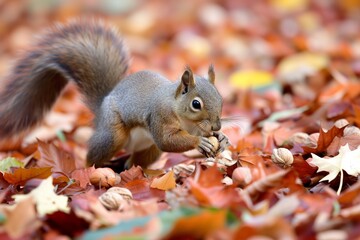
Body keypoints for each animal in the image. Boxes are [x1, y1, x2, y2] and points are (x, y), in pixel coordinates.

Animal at [0, 19, 231, 168]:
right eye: (196, 104)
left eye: (220, 98)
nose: (217, 126)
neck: (186, 120)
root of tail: (102, 106)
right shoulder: (160, 116)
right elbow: (167, 140)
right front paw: (199, 142)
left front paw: (222, 138)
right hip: (113, 134)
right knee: (93, 156)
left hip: (149, 150)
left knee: (134, 163)